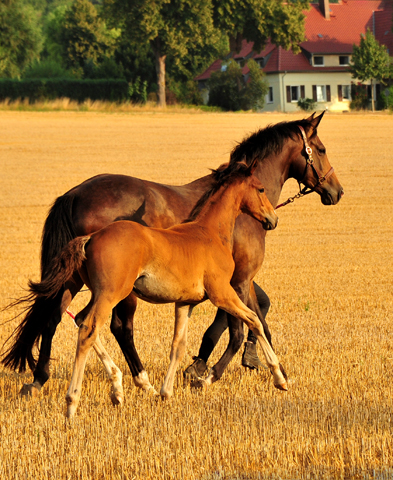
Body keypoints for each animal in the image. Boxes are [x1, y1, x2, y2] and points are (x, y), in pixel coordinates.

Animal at [1, 112, 342, 398]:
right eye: (321, 149)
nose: (336, 192)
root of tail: (73, 194)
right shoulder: (241, 279)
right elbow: (246, 324)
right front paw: (229, 370)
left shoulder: (227, 283)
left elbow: (244, 318)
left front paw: (207, 364)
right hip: (120, 289)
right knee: (117, 327)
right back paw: (140, 380)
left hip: (73, 278)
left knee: (54, 316)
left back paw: (39, 379)